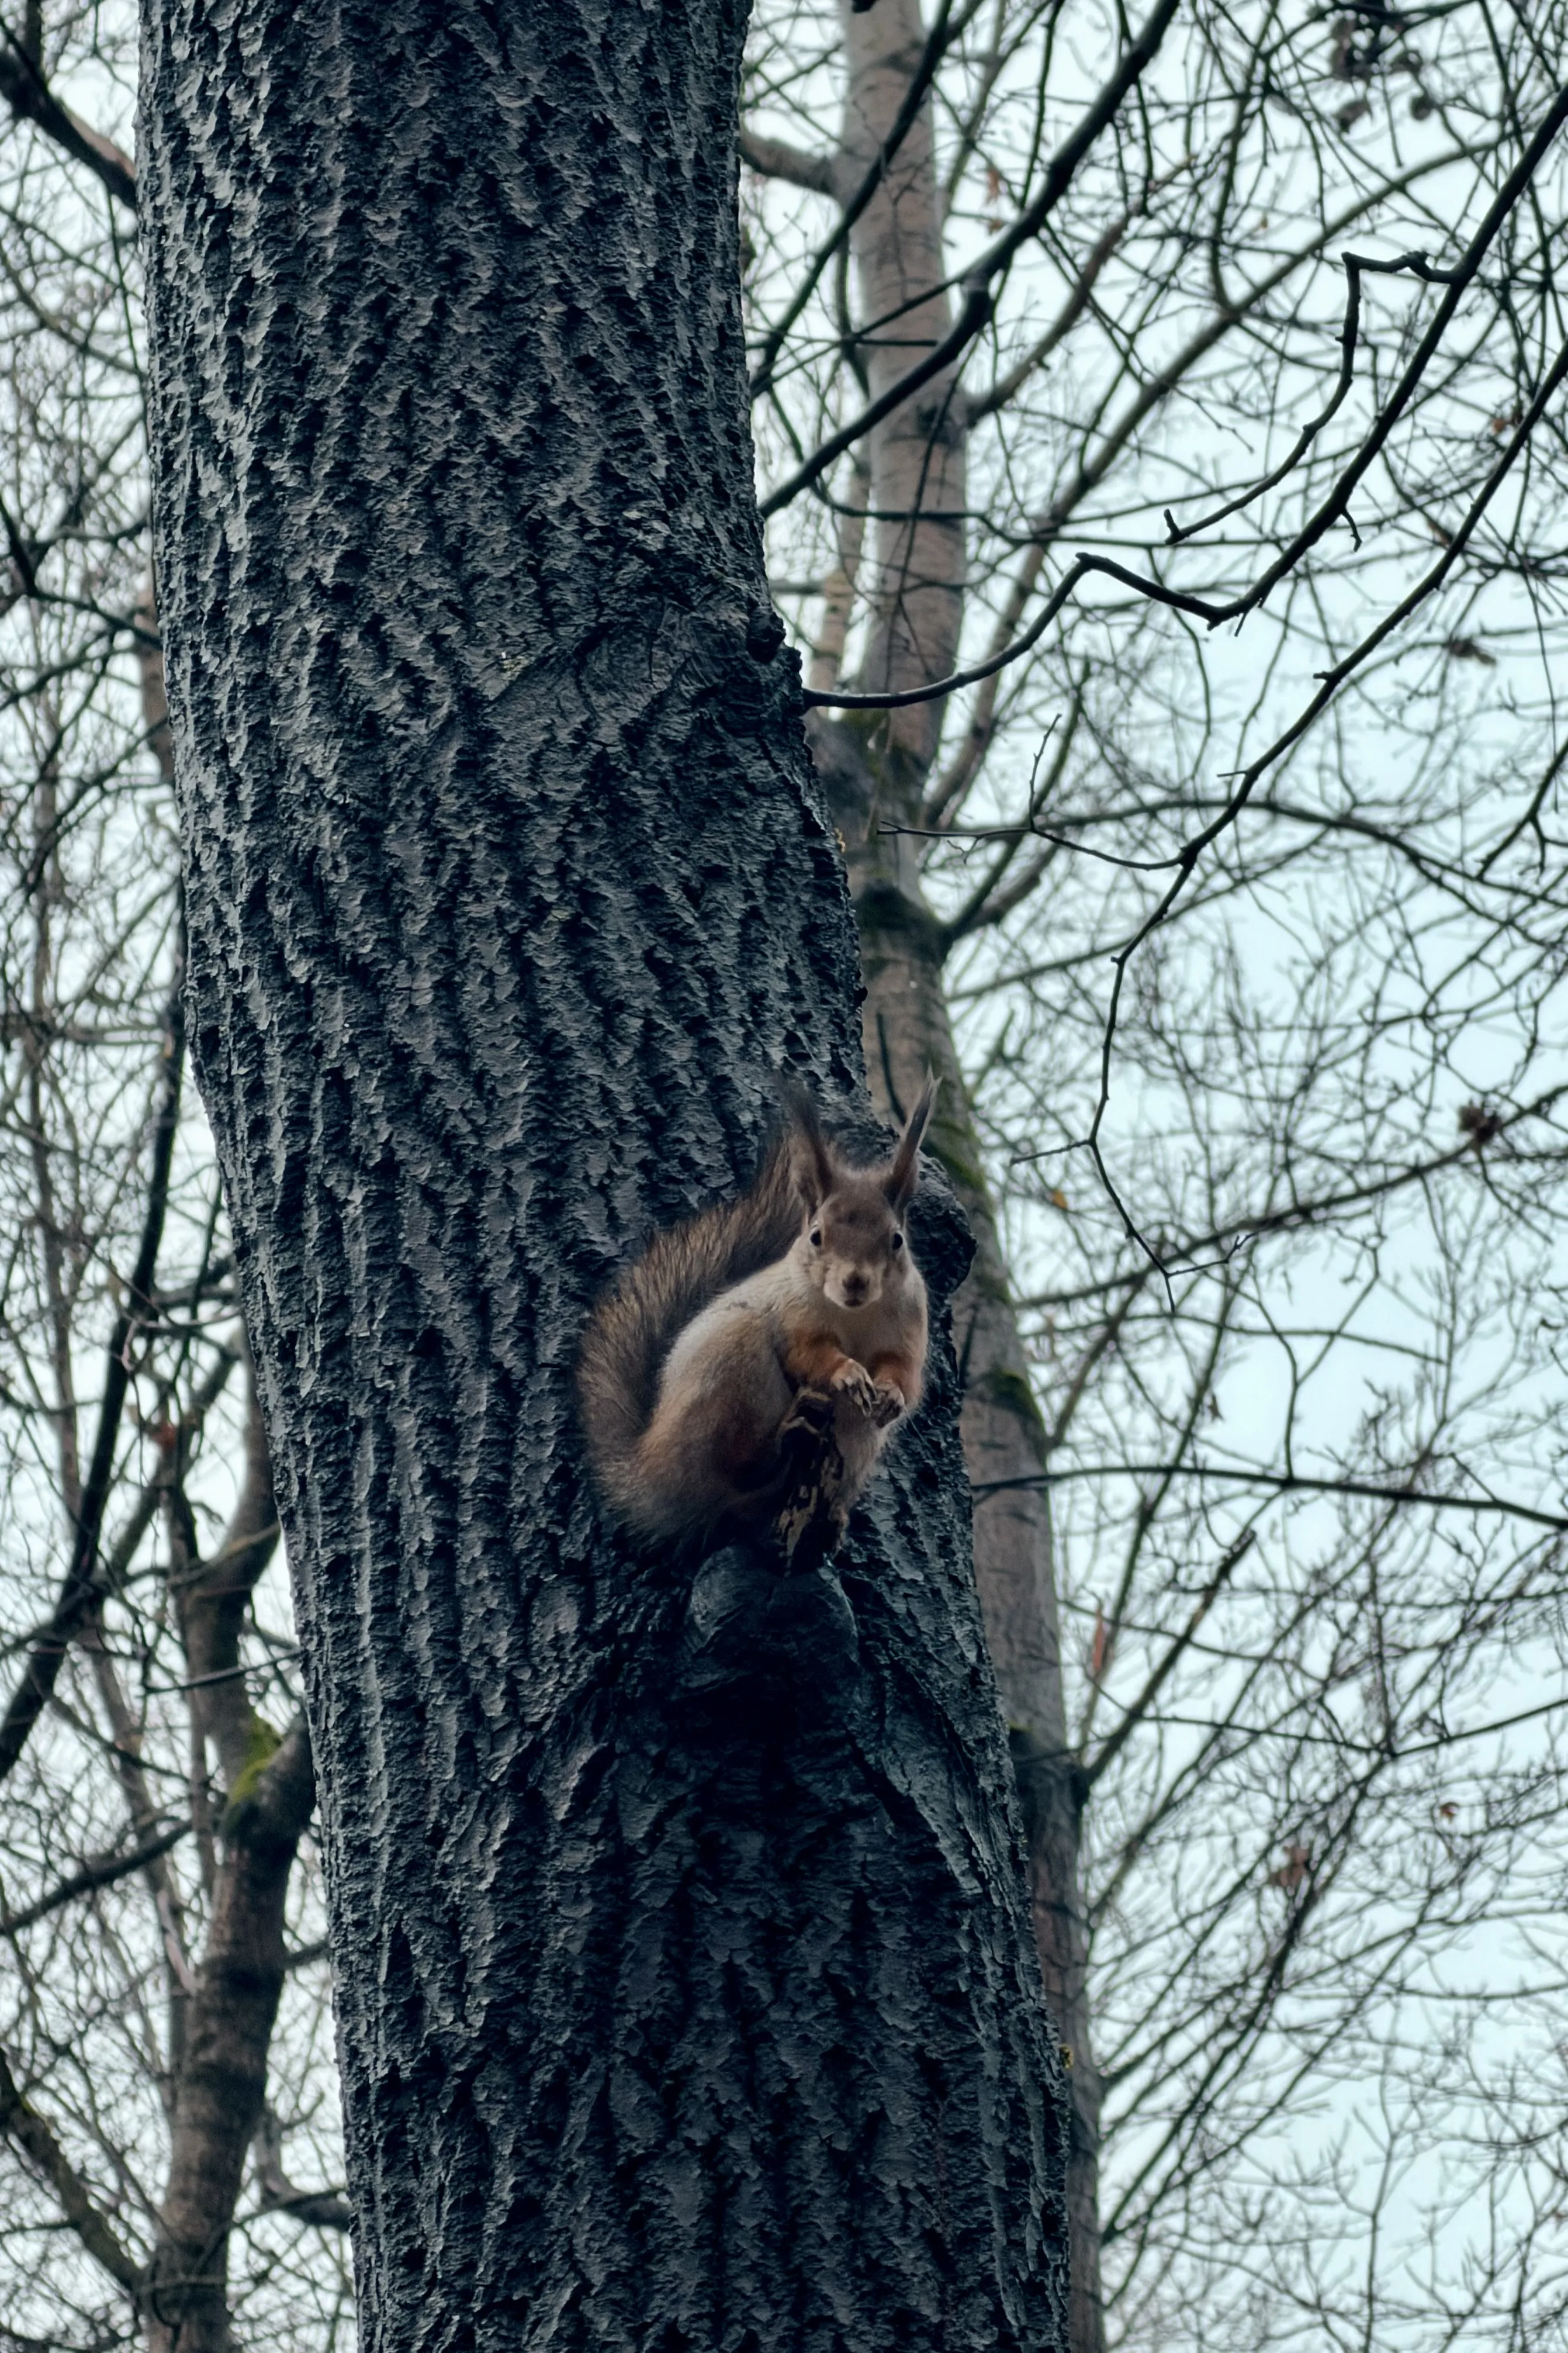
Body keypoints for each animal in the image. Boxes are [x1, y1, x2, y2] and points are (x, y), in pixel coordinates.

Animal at [576, 1079, 937, 1554]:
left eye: (896, 1239)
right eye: (816, 1236)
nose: (855, 1282)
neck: (855, 1316)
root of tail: (647, 1471)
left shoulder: (910, 1325)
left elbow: (904, 1373)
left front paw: (890, 1393)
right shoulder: (791, 1313)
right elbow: (810, 1354)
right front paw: (845, 1373)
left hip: (855, 1439)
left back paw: (825, 1518)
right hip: (731, 1373)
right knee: (735, 1474)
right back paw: (785, 1438)